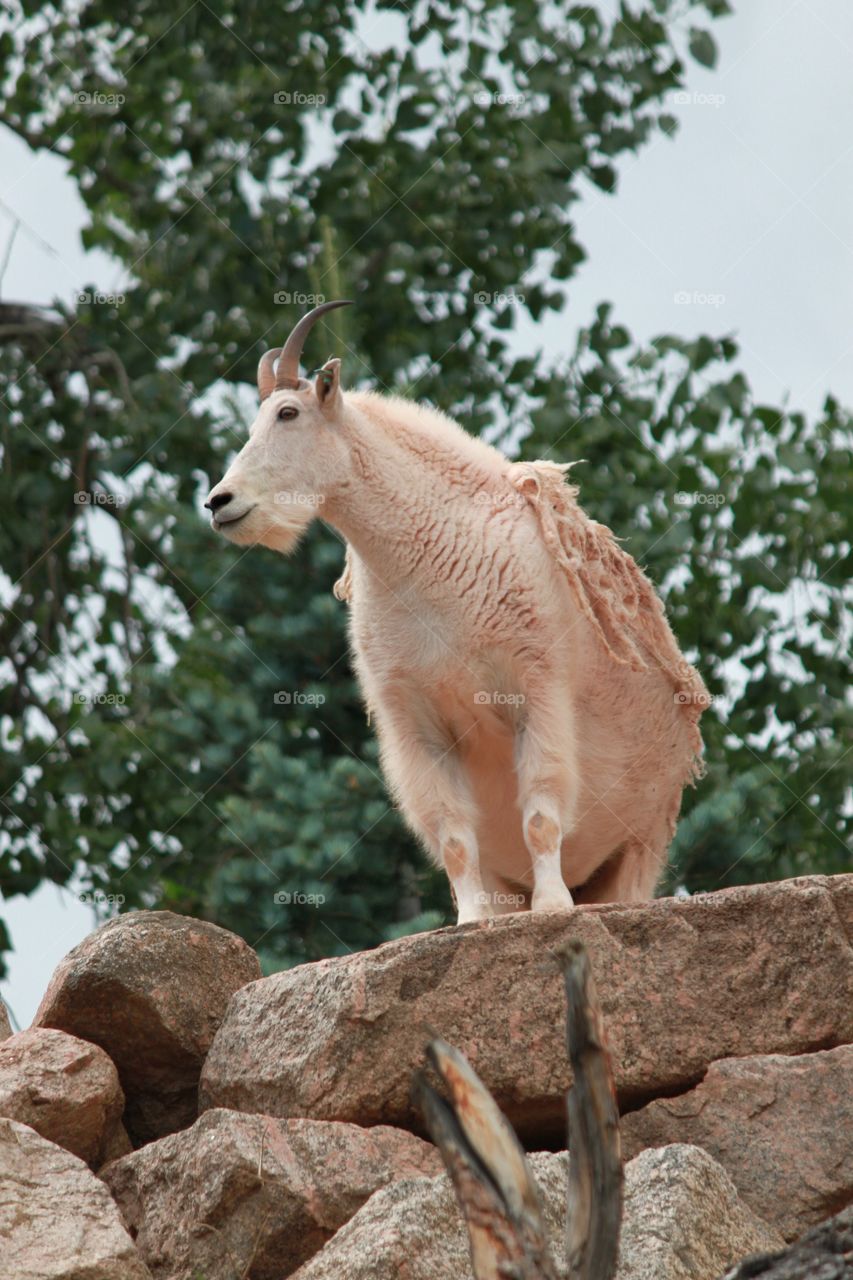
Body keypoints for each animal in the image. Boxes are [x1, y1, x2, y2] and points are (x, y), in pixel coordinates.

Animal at [204, 299, 701, 921]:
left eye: (288, 413)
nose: (219, 502)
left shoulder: (535, 690)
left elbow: (541, 816)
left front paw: (553, 907)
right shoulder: (417, 722)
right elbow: (453, 836)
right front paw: (469, 921)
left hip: (642, 841)